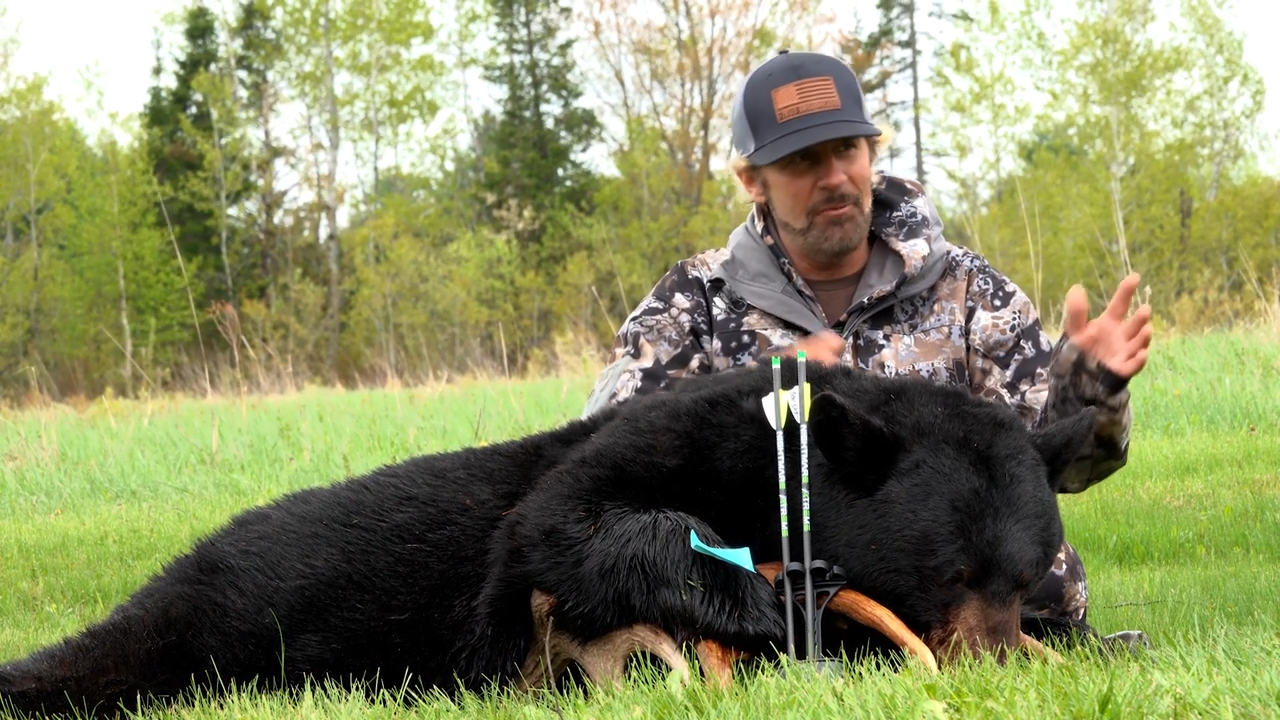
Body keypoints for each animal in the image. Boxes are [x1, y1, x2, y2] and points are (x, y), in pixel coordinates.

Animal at [0, 360, 1095, 717]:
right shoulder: (678, 440)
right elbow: (556, 524)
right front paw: (752, 594)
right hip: (243, 598)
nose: (1000, 660)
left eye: (1030, 570)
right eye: (949, 568)